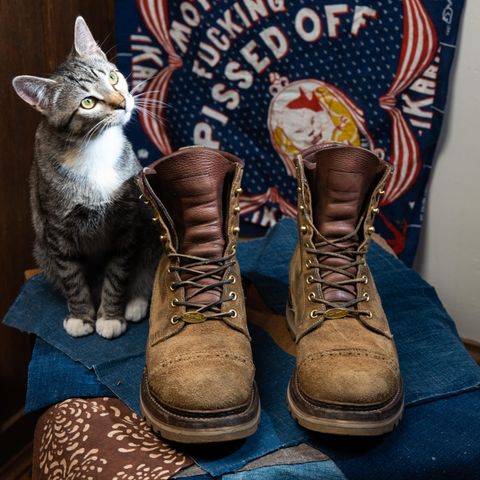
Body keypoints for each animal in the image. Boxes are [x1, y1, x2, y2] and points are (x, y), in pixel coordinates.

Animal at [11, 15, 159, 338]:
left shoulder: (126, 224)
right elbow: (71, 275)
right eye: (88, 103)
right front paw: (81, 316)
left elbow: (118, 271)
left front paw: (111, 315)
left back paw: (136, 303)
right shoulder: (56, 229)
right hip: (41, 250)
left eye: (113, 78)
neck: (95, 147)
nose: (122, 102)